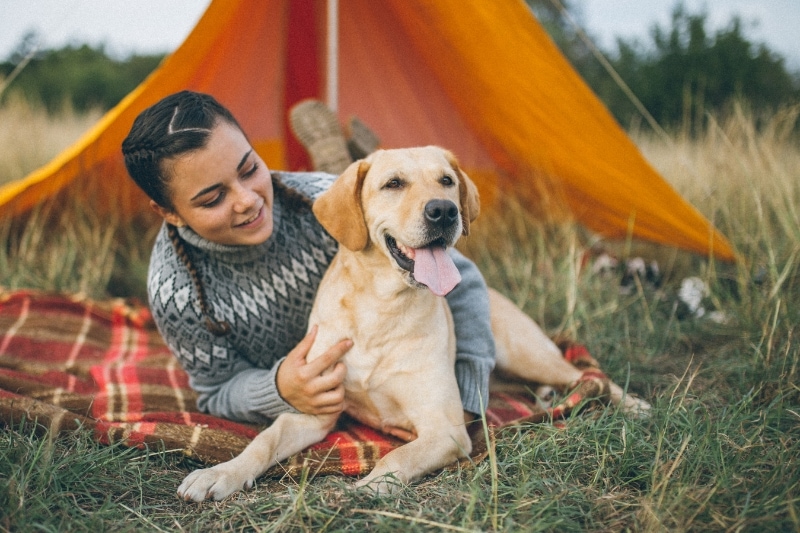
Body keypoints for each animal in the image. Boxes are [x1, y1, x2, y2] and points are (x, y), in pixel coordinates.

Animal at [177, 144, 648, 498]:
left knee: (587, 376)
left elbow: (397, 454)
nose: (444, 211)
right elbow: (263, 440)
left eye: (447, 181)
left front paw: (372, 485)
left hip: (528, 354)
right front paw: (221, 473)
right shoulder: (313, 412)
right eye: (393, 183)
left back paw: (632, 405)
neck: (380, 308)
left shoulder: (445, 430)